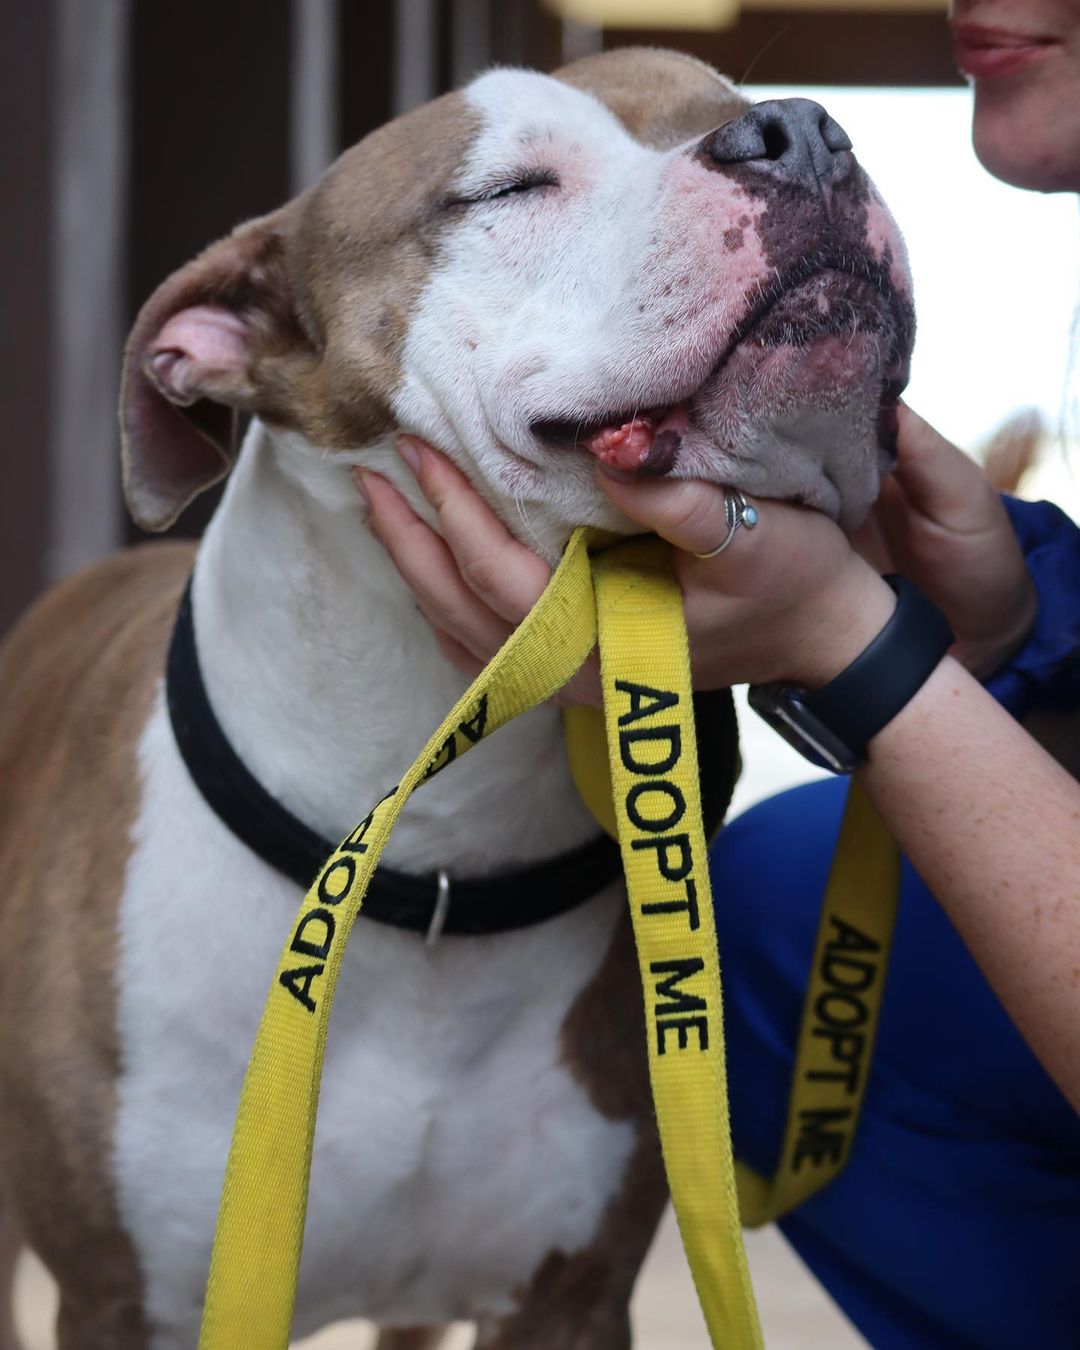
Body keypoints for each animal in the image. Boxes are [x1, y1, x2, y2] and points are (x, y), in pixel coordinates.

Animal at [0, 47, 912, 1344]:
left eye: (732, 104)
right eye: (510, 188)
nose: (803, 131)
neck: (433, 847)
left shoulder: (570, 1299)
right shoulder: (126, 1302)